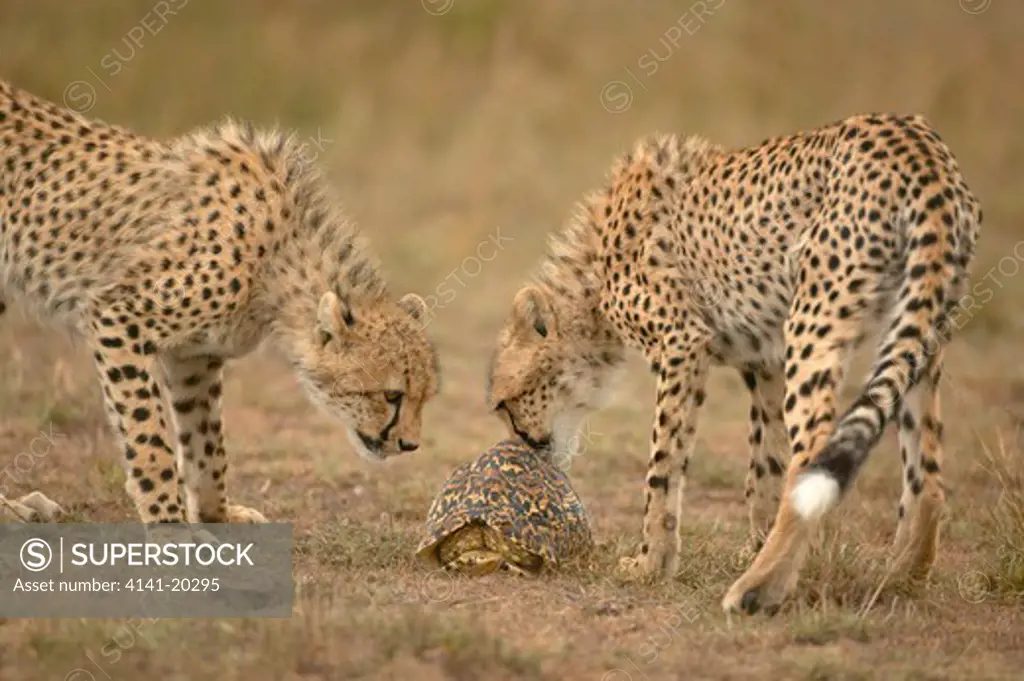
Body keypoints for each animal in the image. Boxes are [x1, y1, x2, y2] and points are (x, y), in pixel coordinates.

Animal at [0, 80, 440, 524]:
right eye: (392, 396)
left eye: (424, 396)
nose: (409, 445)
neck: (276, 259)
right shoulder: (118, 317)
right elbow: (150, 438)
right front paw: (168, 521)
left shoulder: (194, 356)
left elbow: (206, 442)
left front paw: (218, 514)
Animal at [487, 112, 983, 614]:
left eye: (505, 403)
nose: (524, 446)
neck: (593, 280)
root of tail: (922, 151)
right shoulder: (765, 363)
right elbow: (765, 468)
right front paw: (753, 545)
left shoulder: (682, 343)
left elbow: (663, 467)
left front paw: (651, 564)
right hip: (915, 330)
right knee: (928, 475)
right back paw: (899, 578)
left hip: (814, 321)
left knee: (816, 451)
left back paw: (758, 590)